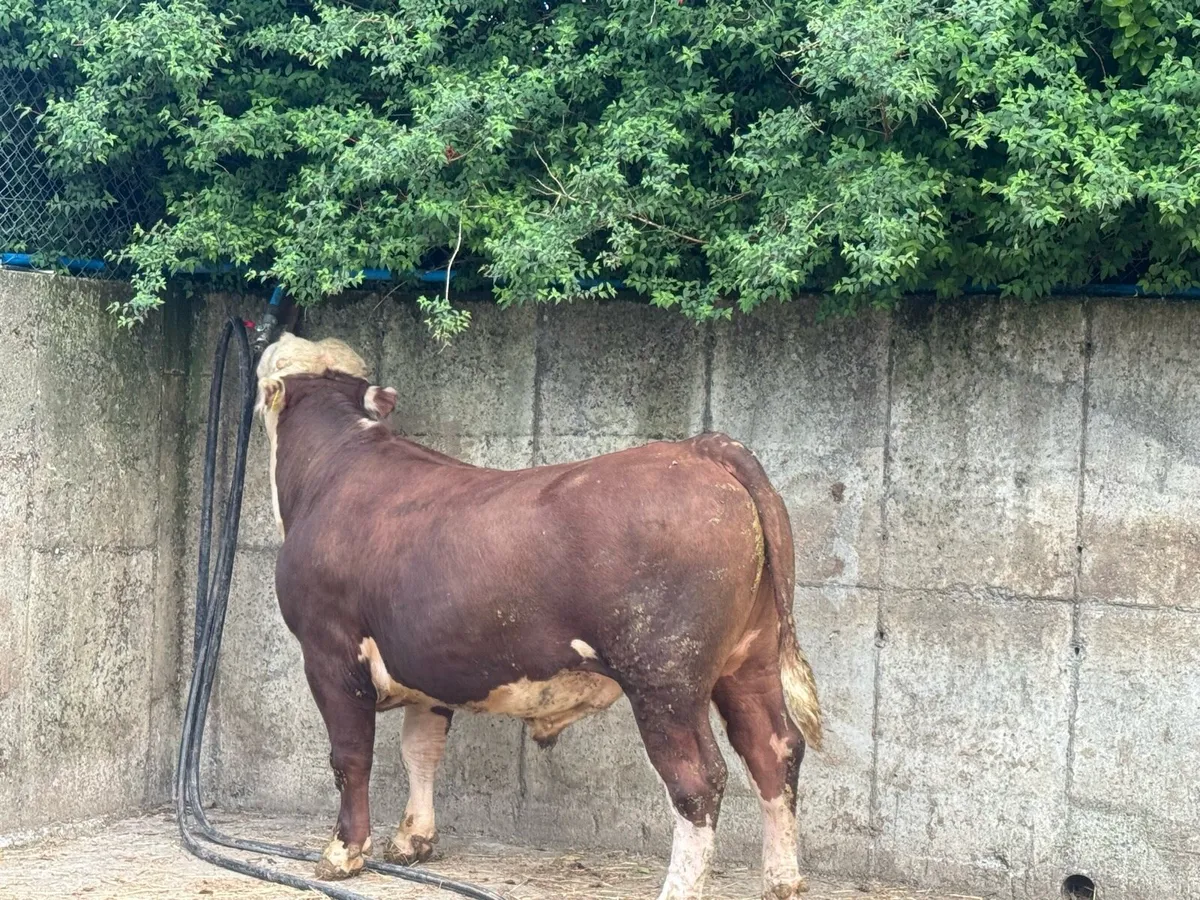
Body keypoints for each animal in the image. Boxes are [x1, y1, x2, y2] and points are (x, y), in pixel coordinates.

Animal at [254, 332, 823, 900]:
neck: (333, 469)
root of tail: (698, 448)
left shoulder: (329, 651)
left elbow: (351, 756)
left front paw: (342, 853)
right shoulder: (427, 664)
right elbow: (421, 751)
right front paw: (413, 840)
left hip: (666, 678)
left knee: (698, 779)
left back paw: (682, 888)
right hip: (749, 659)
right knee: (775, 750)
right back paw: (782, 880)